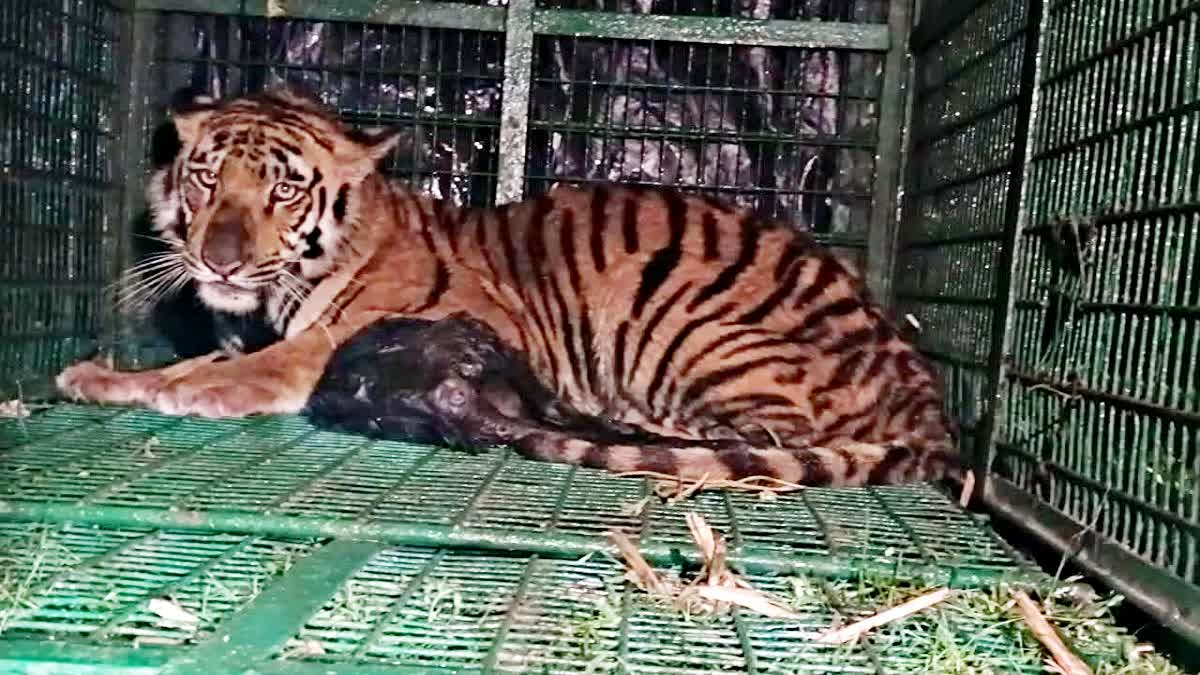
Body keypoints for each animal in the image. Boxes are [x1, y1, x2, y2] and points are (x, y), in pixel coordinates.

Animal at [56, 85, 960, 486]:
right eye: (207, 178)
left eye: (280, 189)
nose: (219, 261)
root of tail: (924, 387)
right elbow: (184, 360)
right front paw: (103, 376)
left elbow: (294, 354)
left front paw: (200, 388)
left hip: (692, 324)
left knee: (757, 433)